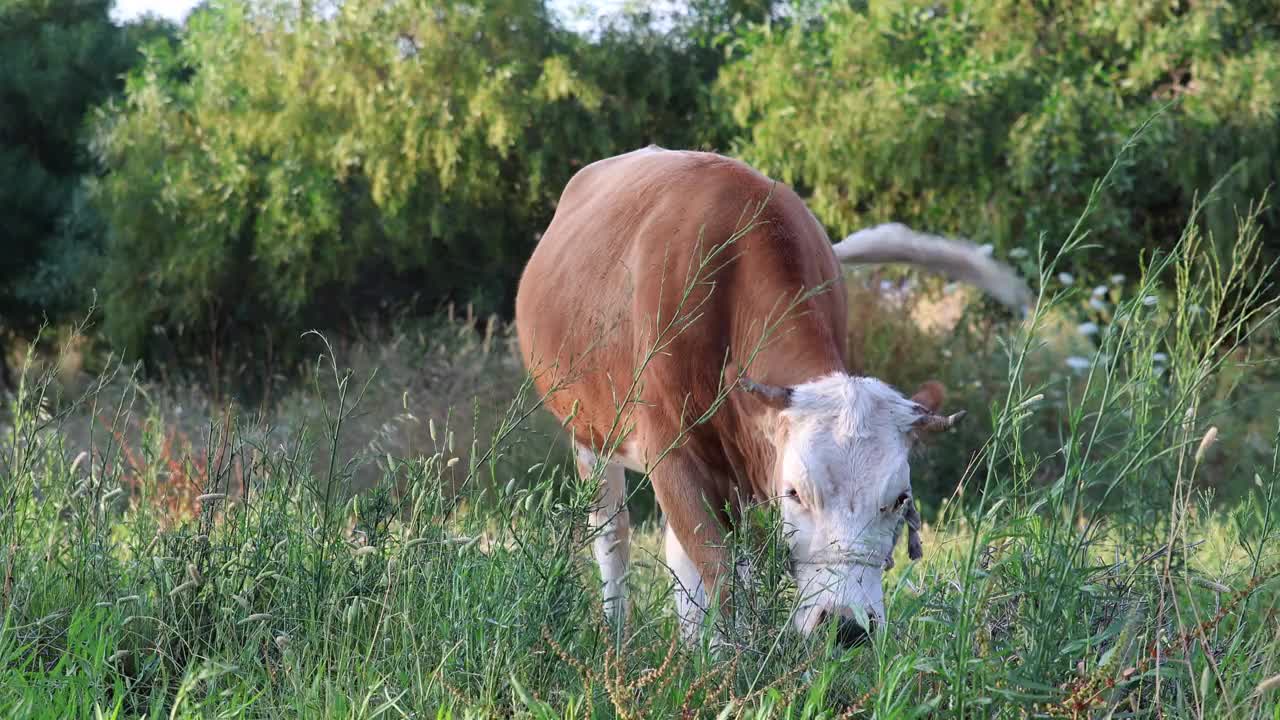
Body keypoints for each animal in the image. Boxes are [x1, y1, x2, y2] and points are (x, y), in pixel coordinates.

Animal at [514, 142, 1024, 640]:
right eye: (795, 492)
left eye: (900, 498)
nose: (846, 626)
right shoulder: (672, 453)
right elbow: (720, 577)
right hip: (591, 434)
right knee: (613, 535)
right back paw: (618, 630)